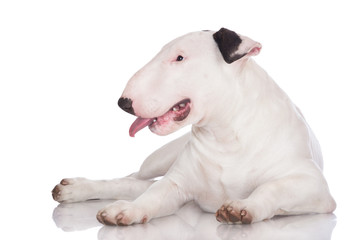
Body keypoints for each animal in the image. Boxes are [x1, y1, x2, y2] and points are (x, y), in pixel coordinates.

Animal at [52, 27, 336, 225]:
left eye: (179, 58)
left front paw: (242, 208)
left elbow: (272, 187)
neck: (226, 134)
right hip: (160, 159)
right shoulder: (178, 182)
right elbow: (154, 194)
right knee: (134, 179)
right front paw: (127, 209)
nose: (124, 103)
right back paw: (76, 188)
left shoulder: (313, 184)